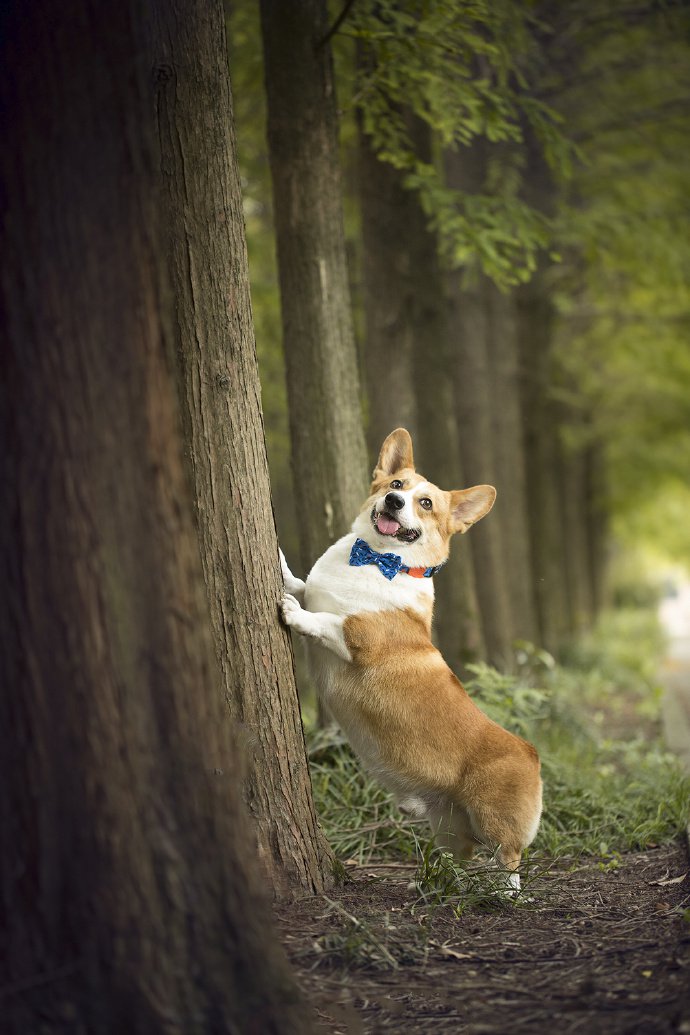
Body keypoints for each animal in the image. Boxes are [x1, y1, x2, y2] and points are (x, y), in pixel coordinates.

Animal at [283, 426, 542, 890]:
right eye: (396, 483)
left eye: (426, 503)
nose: (394, 501)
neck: (377, 558)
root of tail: (532, 754)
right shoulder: (316, 588)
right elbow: (300, 582)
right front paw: (279, 565)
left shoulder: (359, 637)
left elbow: (326, 620)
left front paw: (294, 614)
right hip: (448, 826)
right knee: (461, 859)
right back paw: (437, 884)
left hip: (495, 823)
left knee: (508, 863)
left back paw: (507, 896)